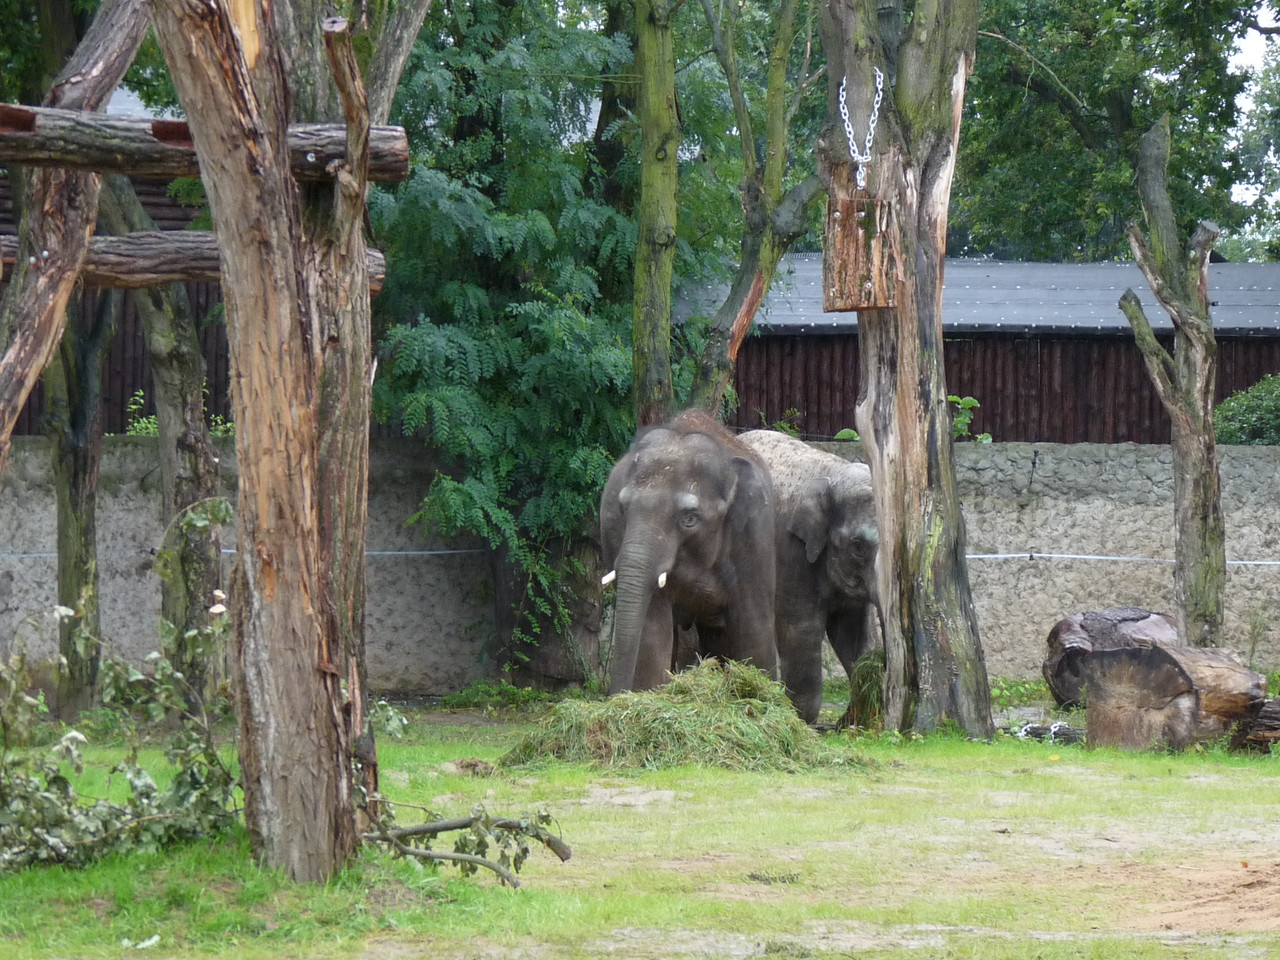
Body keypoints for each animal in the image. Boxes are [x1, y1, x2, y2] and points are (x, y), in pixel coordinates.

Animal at [599, 409, 778, 696]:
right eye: (623, 508)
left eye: (690, 519)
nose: (615, 695)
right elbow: (652, 632)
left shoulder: (755, 535)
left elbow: (754, 626)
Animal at [737, 432, 875, 727]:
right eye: (858, 546)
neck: (835, 473)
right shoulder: (790, 553)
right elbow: (802, 629)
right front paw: (800, 720)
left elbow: (853, 635)